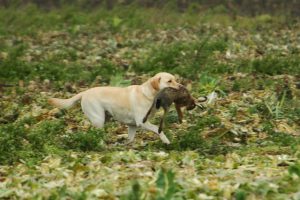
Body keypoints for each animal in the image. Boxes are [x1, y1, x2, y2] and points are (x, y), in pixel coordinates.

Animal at [49, 72, 180, 145]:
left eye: (175, 79)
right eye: (169, 81)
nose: (181, 86)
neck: (148, 94)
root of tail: (84, 92)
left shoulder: (133, 125)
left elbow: (130, 140)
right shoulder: (141, 122)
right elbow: (158, 129)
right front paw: (166, 141)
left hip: (104, 119)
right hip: (99, 119)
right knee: (96, 134)